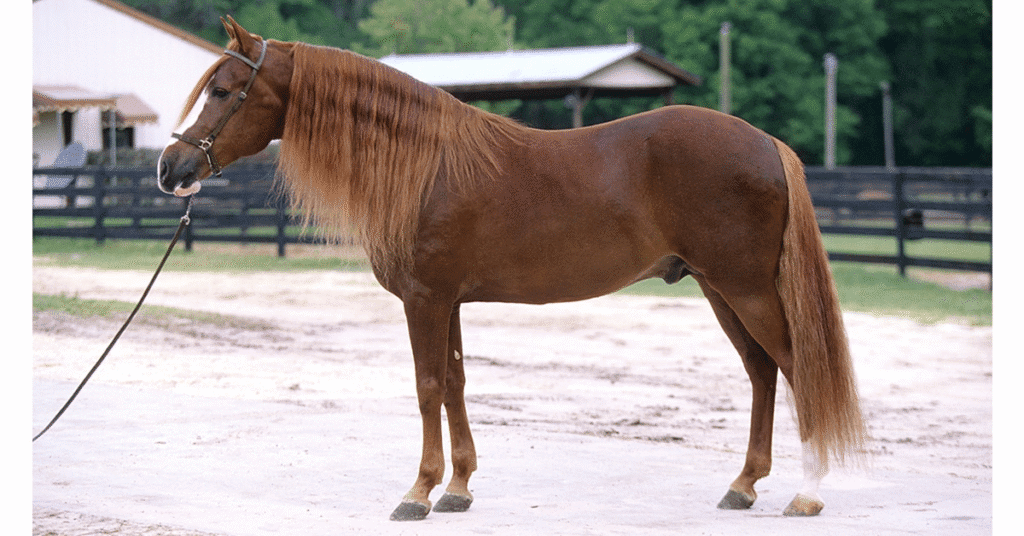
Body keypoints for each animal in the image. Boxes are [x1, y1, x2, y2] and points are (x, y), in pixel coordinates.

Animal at [158, 16, 866, 521]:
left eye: (223, 90)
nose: (171, 170)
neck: (425, 167)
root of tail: (765, 142)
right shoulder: (449, 301)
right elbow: (456, 384)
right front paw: (458, 488)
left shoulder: (425, 299)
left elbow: (428, 387)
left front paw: (417, 493)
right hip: (721, 289)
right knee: (763, 373)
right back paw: (743, 486)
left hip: (747, 289)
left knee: (798, 368)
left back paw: (806, 494)